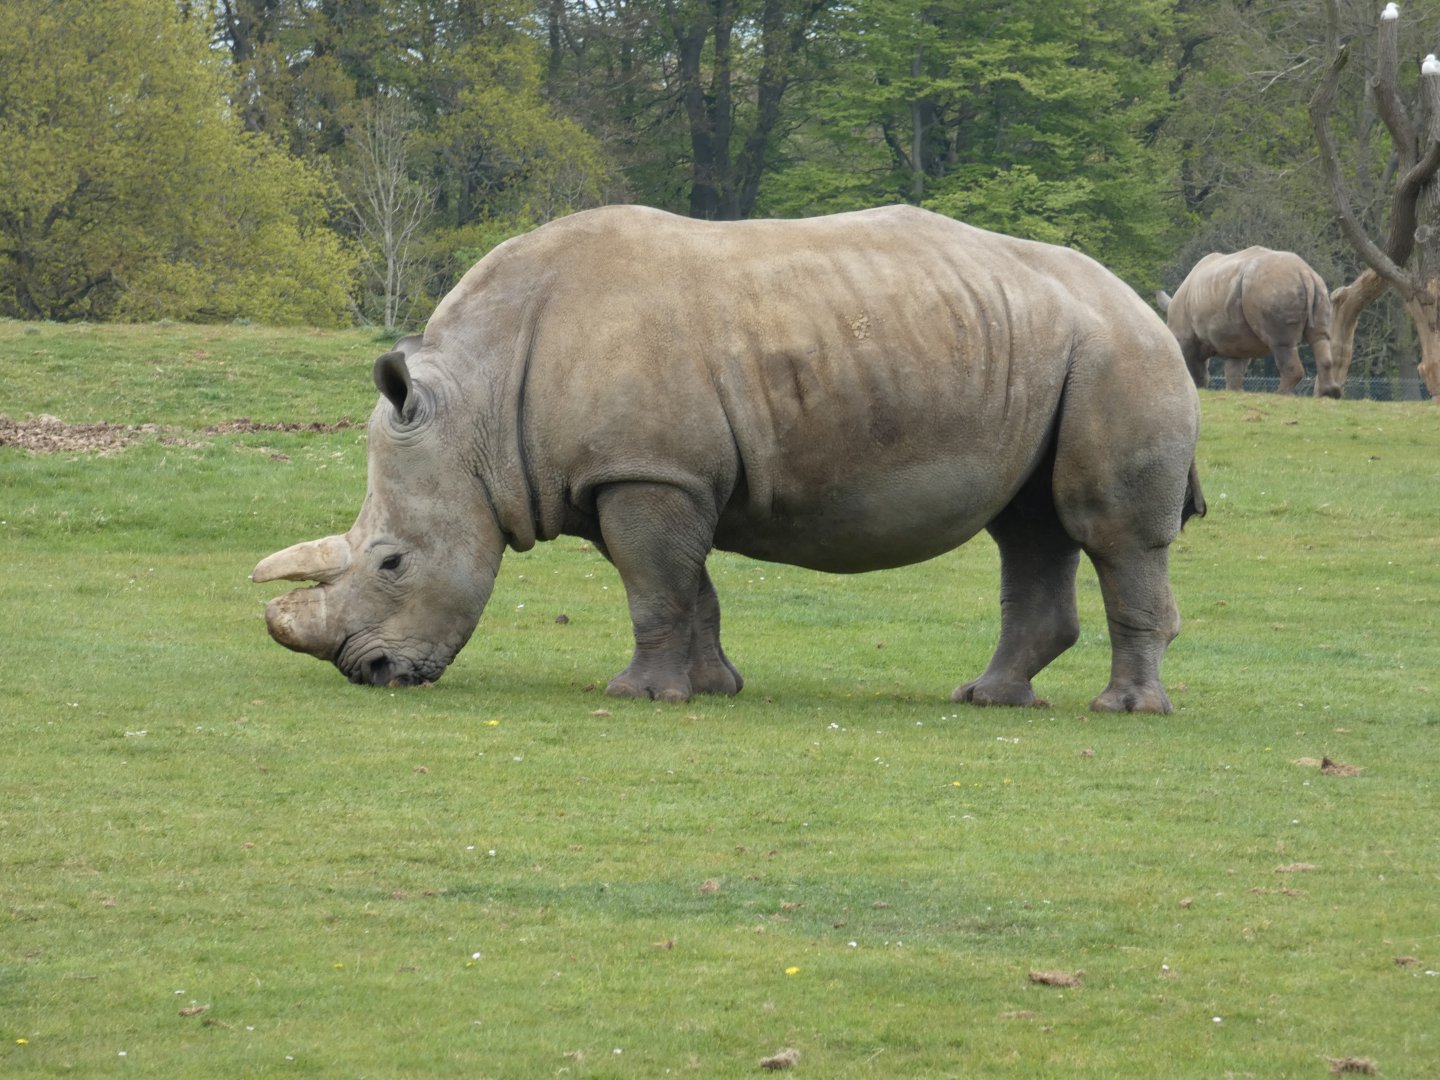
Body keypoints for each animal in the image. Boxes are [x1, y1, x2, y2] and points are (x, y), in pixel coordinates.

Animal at [253, 205, 1205, 713]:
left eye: (391, 561)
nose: (368, 671)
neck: (474, 409)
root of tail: (1142, 302)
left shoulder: (645, 472)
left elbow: (654, 587)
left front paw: (636, 696)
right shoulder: (638, 473)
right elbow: (685, 587)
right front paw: (712, 688)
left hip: (1120, 355)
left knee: (1107, 531)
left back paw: (1122, 709)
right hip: (1050, 353)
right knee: (1030, 528)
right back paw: (988, 700)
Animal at [1156, 247, 1342, 398]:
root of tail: (1304, 272)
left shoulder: (1185, 337)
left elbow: (1191, 364)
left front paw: (1198, 388)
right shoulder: (1238, 342)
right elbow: (1233, 370)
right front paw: (1234, 392)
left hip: (1273, 288)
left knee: (1281, 344)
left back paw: (1281, 394)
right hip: (1317, 288)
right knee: (1320, 337)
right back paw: (1329, 394)